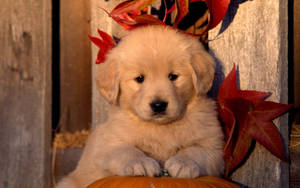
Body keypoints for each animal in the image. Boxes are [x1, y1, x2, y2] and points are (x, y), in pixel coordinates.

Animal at [57, 25, 224, 188]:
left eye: (173, 76)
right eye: (139, 78)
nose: (158, 105)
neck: (161, 128)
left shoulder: (213, 147)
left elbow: (196, 151)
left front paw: (183, 163)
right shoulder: (109, 144)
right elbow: (126, 150)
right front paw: (140, 163)